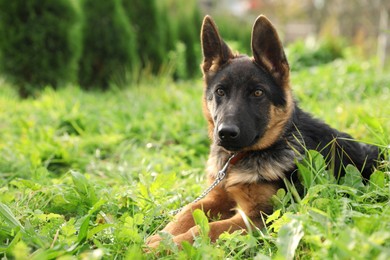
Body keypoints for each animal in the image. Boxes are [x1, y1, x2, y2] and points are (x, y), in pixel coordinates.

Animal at [145, 15, 378, 249]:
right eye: (220, 91)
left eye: (257, 93)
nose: (225, 133)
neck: (237, 161)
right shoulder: (216, 197)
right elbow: (186, 212)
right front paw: (160, 237)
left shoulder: (258, 217)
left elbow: (205, 228)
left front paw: (162, 247)